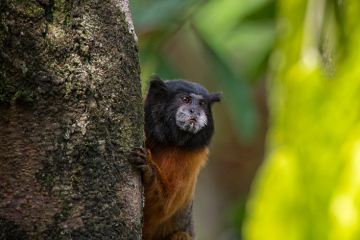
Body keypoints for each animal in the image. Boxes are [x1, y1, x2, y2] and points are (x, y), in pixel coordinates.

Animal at [131, 76, 222, 239]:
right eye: (185, 99)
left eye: (202, 104)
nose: (195, 111)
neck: (166, 142)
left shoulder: (189, 160)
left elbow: (163, 207)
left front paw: (149, 167)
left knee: (182, 235)